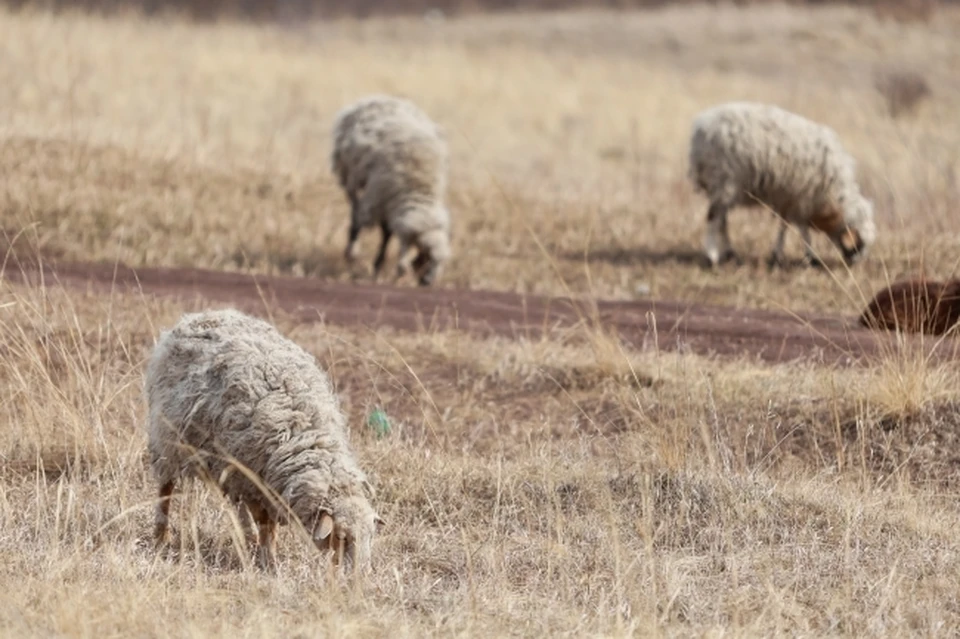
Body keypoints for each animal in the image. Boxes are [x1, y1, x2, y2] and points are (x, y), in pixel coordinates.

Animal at [143, 308, 382, 572]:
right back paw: (161, 536)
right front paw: (269, 562)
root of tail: (201, 315)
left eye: (371, 535)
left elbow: (266, 523)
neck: (304, 436)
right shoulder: (255, 482)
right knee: (166, 489)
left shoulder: (258, 482)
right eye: (341, 537)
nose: (360, 574)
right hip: (167, 439)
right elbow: (266, 524)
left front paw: (263, 553)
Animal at [330, 93, 450, 288]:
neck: (419, 191)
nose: (427, 283)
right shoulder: (381, 198)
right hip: (350, 176)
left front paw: (380, 265)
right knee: (355, 211)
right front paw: (379, 266)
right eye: (428, 257)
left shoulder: (390, 203)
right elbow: (386, 233)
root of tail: (379, 98)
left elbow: (388, 234)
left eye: (440, 262)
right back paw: (351, 249)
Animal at [684, 102, 876, 270]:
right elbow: (798, 227)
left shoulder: (791, 198)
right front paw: (809, 256)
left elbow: (786, 226)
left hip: (726, 187)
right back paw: (712, 256)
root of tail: (701, 127)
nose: (855, 264)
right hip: (724, 180)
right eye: (860, 243)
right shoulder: (801, 196)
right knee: (713, 217)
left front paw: (780, 255)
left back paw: (731, 253)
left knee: (722, 219)